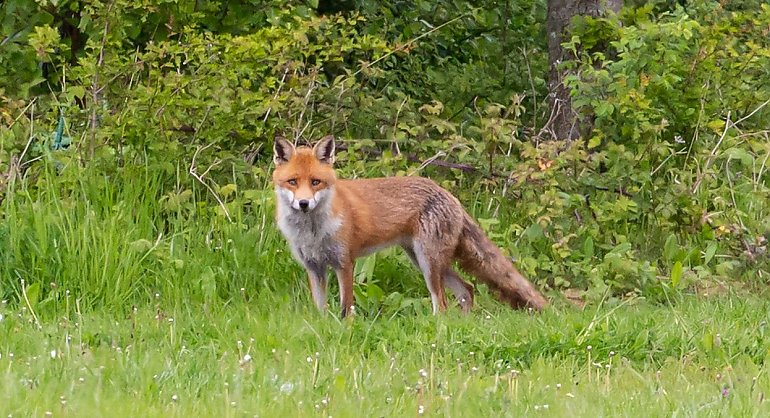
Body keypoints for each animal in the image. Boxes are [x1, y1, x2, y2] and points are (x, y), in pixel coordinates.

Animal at [270, 136, 544, 318]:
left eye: (315, 182)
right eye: (292, 182)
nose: (303, 203)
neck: (312, 232)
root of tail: (449, 195)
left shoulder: (344, 262)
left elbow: (346, 307)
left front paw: (345, 329)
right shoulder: (314, 267)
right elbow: (321, 309)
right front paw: (323, 327)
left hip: (428, 262)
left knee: (442, 303)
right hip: (424, 260)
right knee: (467, 289)